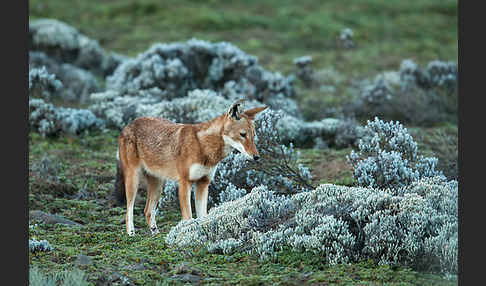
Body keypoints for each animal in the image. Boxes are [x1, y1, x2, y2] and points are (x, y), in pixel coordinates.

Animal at [112, 100, 268, 235]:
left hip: (158, 186)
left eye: (254, 136)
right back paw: (131, 233)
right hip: (133, 181)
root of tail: (128, 125)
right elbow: (188, 217)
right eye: (243, 135)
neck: (204, 147)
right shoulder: (184, 183)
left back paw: (155, 233)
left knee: (147, 210)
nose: (256, 157)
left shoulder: (203, 183)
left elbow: (203, 216)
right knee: (129, 209)